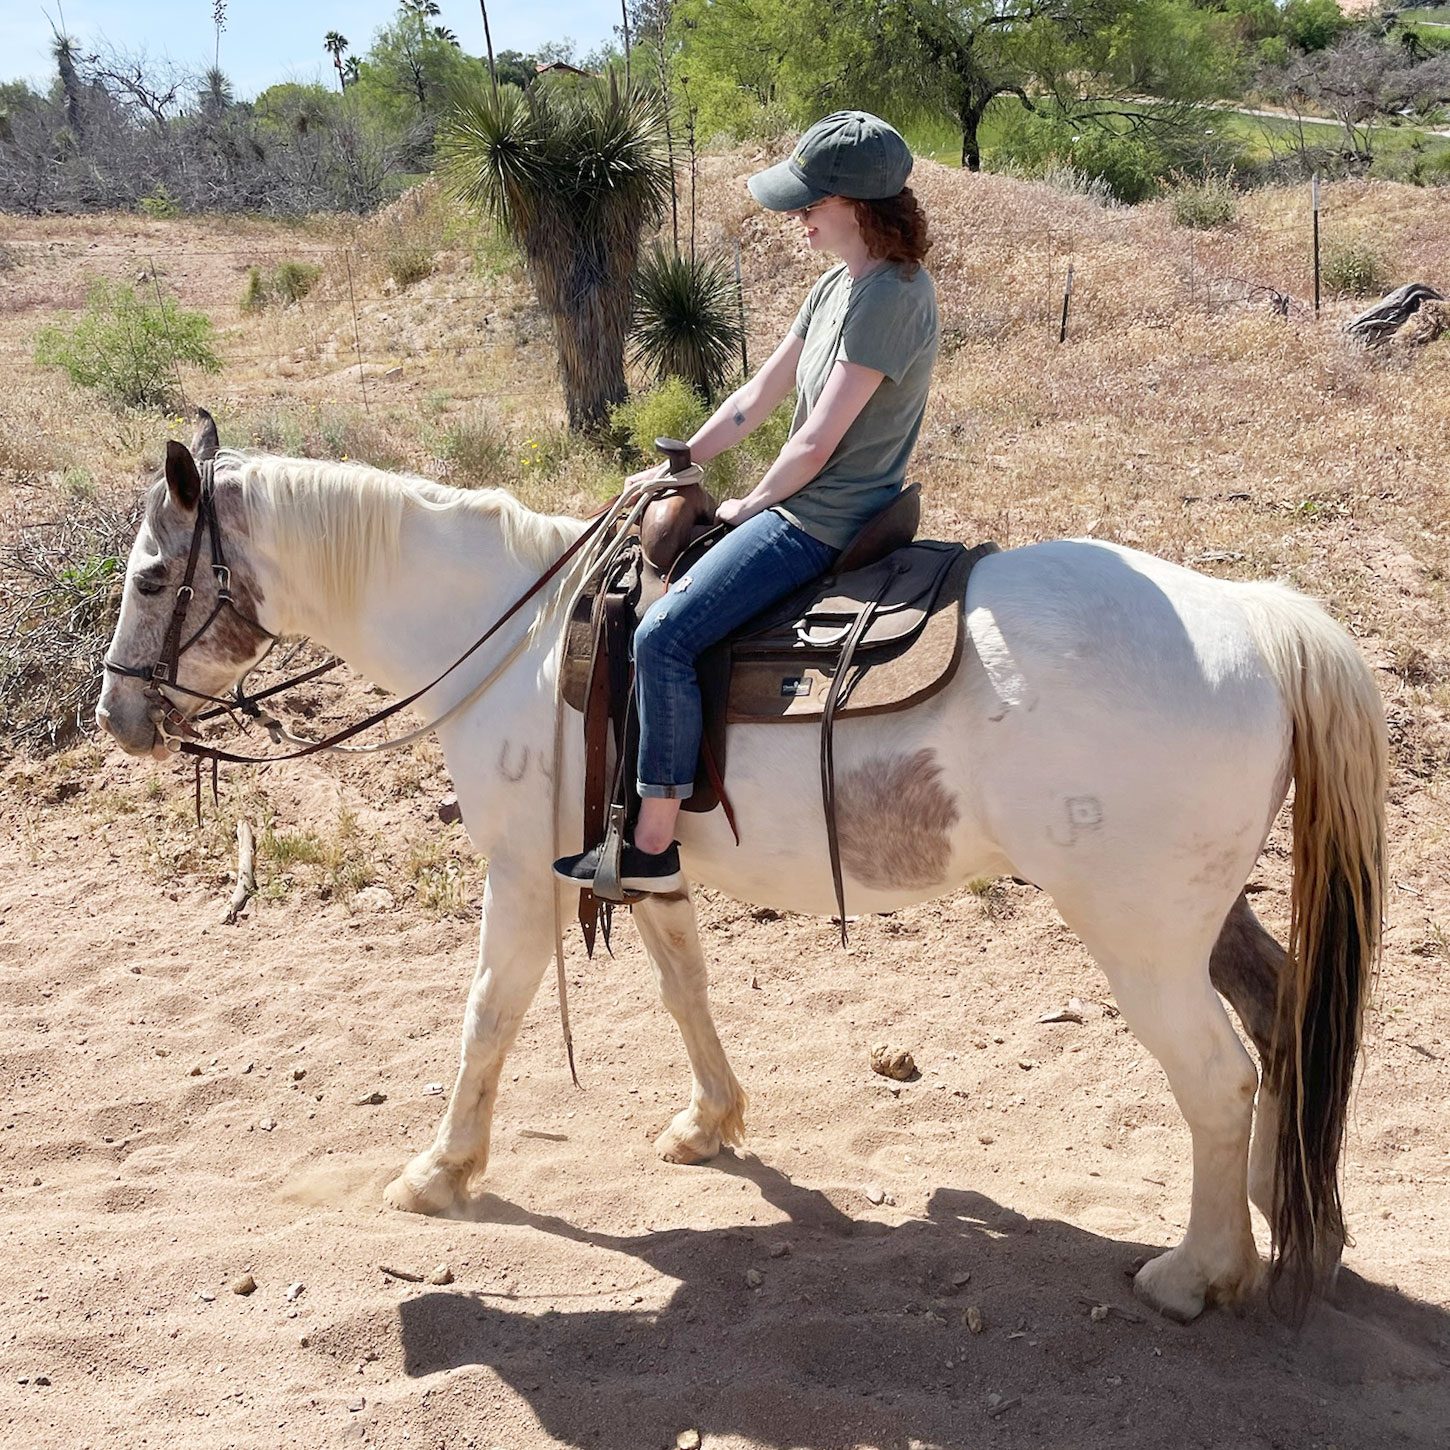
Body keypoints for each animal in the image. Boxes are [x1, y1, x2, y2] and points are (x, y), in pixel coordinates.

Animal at [96, 423, 1386, 1328]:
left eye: (155, 578)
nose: (117, 717)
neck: (515, 637)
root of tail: (1258, 617)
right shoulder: (638, 859)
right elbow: (685, 989)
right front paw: (710, 1122)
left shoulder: (521, 871)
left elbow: (488, 1016)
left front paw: (439, 1170)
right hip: (1204, 912)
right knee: (1281, 1019)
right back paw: (1291, 1220)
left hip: (1138, 932)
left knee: (1215, 1077)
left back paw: (1197, 1271)